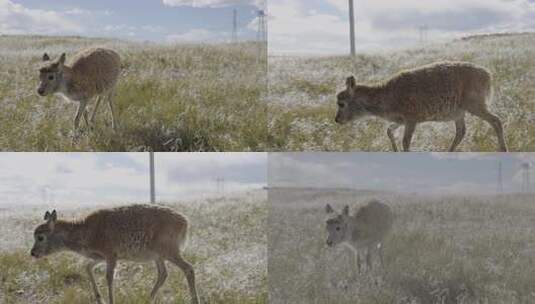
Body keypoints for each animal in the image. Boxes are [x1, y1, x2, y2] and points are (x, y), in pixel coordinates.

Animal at [29, 204, 201, 304]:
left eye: (40, 237)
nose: (33, 253)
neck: (86, 231)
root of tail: (186, 222)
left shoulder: (111, 255)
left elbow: (109, 278)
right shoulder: (100, 257)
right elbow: (87, 267)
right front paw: (99, 299)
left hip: (169, 251)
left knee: (188, 268)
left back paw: (195, 300)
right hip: (158, 256)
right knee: (163, 274)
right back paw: (148, 299)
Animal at [338, 61, 508, 152]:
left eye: (342, 103)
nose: (336, 119)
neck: (386, 96)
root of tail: (488, 75)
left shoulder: (411, 120)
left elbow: (405, 142)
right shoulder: (401, 121)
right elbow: (389, 131)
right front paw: (394, 151)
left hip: (475, 105)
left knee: (496, 121)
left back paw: (503, 150)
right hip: (459, 113)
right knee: (461, 131)